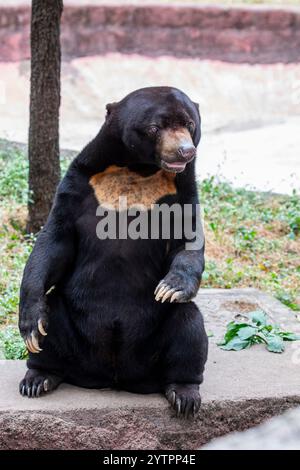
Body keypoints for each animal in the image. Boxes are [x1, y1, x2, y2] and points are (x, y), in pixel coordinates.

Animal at [18, 86, 206, 416]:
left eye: (189, 124)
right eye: (155, 127)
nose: (185, 152)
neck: (138, 169)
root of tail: (114, 377)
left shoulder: (181, 192)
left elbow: (188, 240)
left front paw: (171, 286)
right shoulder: (82, 184)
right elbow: (55, 242)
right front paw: (29, 323)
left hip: (155, 339)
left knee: (189, 326)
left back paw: (183, 393)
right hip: (74, 325)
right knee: (51, 321)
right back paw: (38, 377)